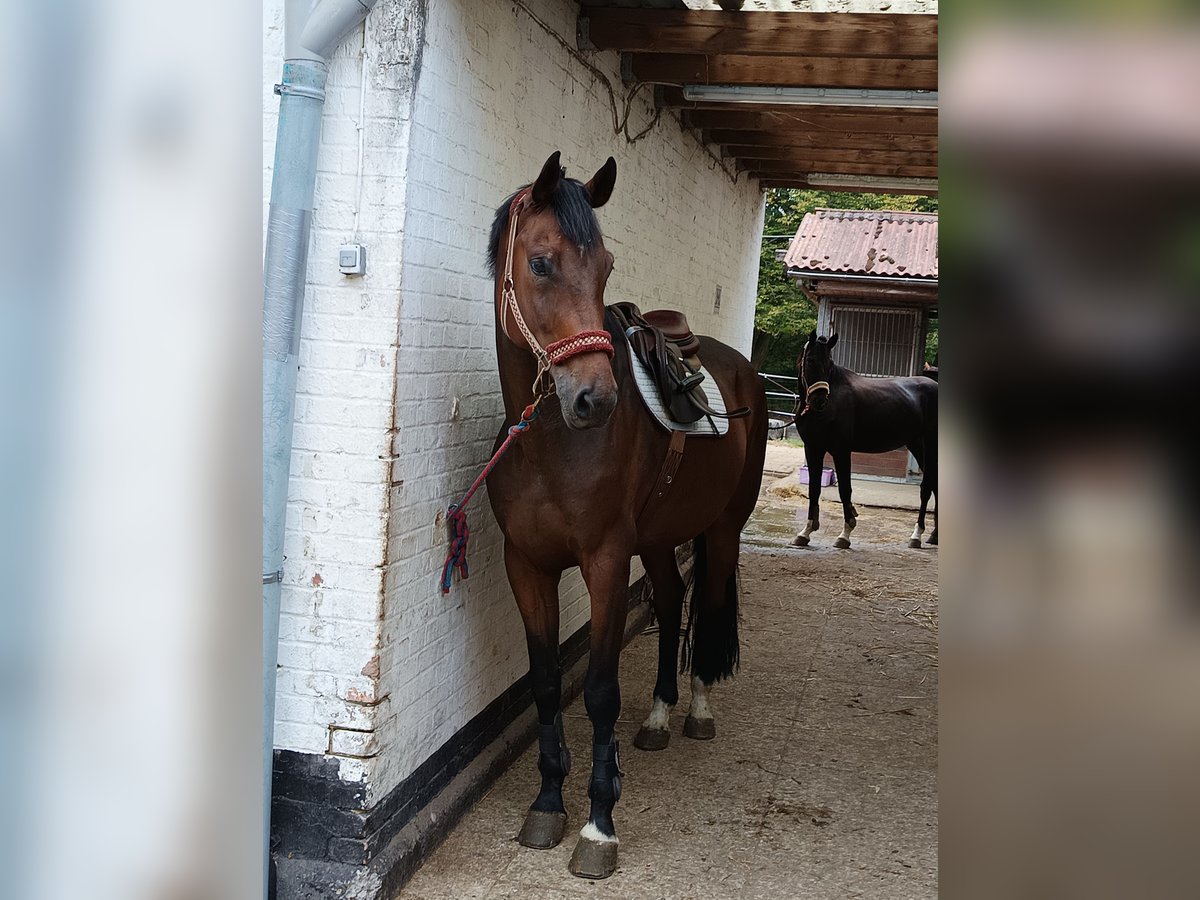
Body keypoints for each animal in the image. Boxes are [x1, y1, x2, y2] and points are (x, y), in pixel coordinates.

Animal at [480, 154, 768, 883]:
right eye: (542, 262)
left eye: (606, 265)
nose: (595, 399)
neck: (551, 445)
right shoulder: (526, 566)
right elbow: (546, 684)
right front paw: (547, 804)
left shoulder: (606, 562)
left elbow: (600, 692)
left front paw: (598, 826)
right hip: (660, 539)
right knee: (670, 600)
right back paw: (660, 716)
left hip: (721, 531)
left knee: (708, 601)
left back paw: (696, 709)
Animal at [792, 331, 940, 549]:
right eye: (810, 360)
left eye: (830, 363)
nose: (820, 400)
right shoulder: (813, 448)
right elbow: (814, 489)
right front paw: (805, 532)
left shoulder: (841, 450)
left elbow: (845, 489)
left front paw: (845, 535)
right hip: (917, 445)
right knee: (936, 484)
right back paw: (934, 535)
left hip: (930, 445)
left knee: (927, 487)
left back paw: (917, 536)